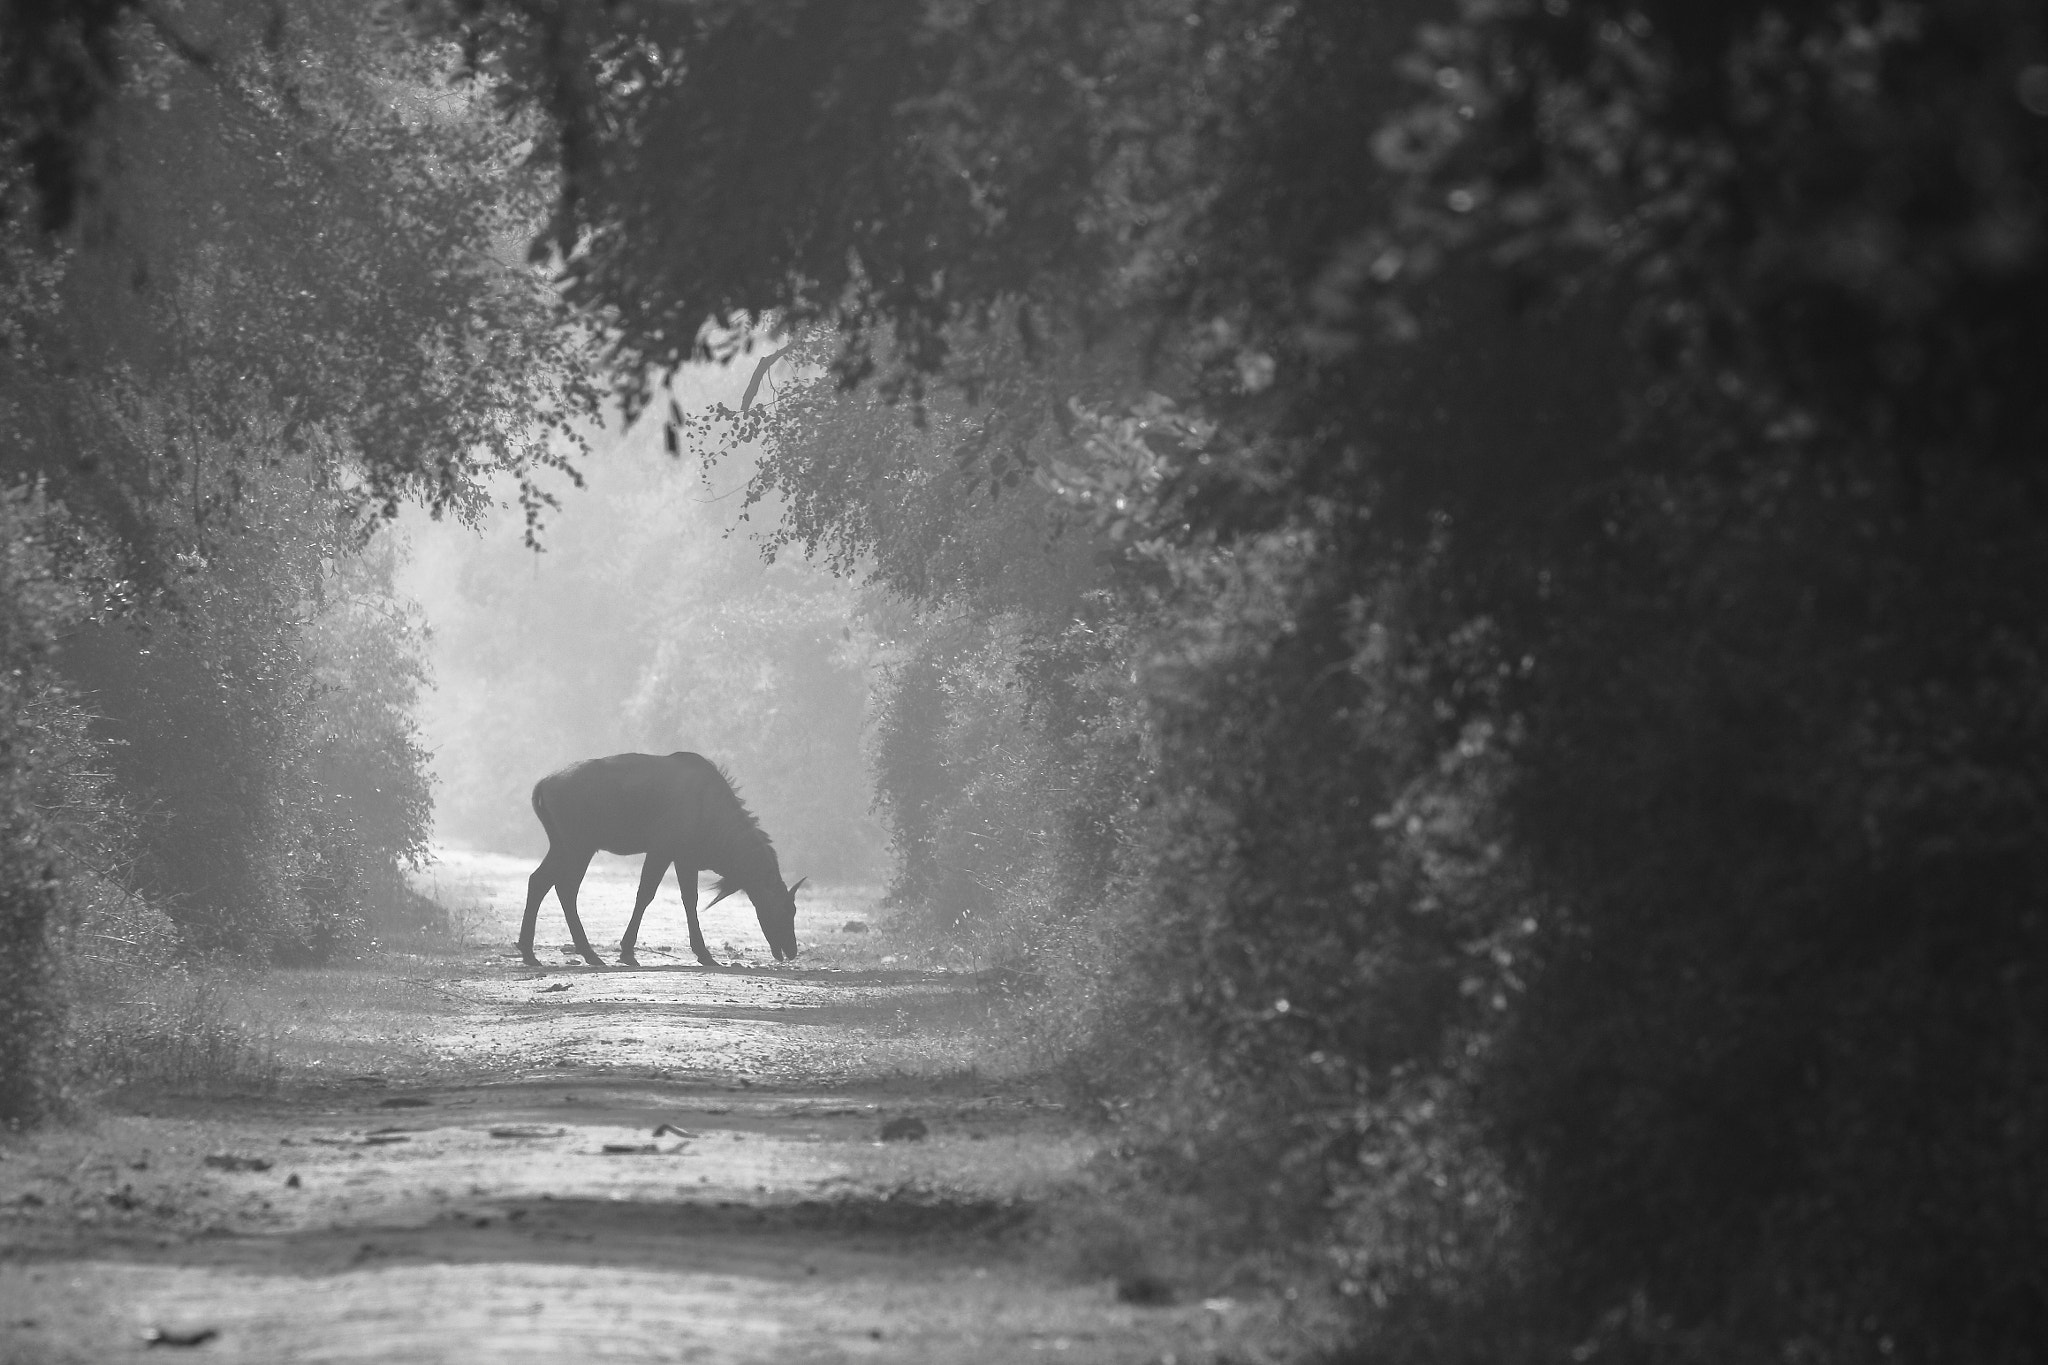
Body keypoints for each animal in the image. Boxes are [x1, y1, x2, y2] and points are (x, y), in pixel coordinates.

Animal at [518, 752, 804, 969]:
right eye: (785, 909)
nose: (791, 950)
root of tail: (542, 785)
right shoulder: (663, 849)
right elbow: (648, 895)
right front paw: (628, 951)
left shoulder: (684, 857)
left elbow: (687, 899)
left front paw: (702, 953)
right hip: (579, 845)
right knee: (564, 887)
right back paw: (585, 953)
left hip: (563, 845)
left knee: (541, 881)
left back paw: (531, 951)